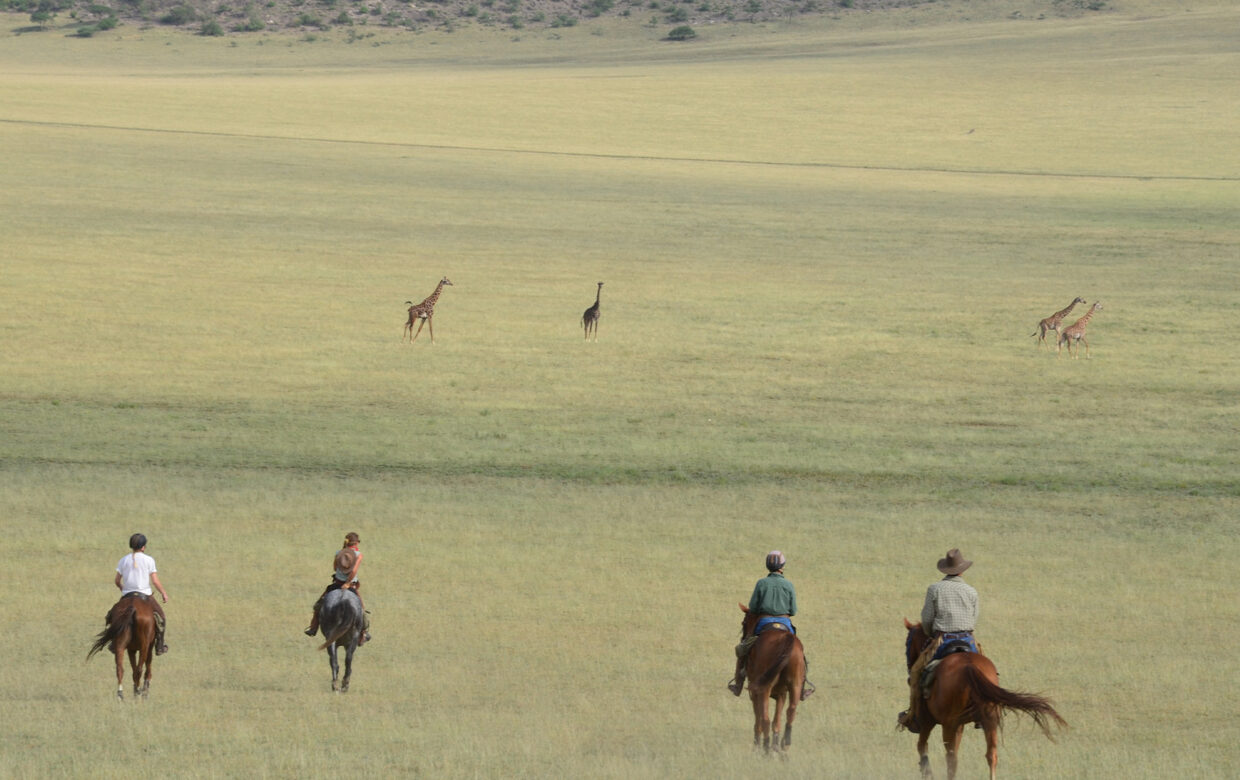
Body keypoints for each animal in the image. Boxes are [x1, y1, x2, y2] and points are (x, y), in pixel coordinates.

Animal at [738, 603, 806, 754]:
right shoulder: (782, 693)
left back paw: (766, 750)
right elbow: (777, 721)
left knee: (765, 718)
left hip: (763, 689)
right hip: (795, 685)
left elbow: (760, 719)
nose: (744, 638)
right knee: (791, 711)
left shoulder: (755, 693)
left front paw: (757, 745)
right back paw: (784, 746)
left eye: (744, 623)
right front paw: (775, 745)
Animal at [903, 618, 1066, 780]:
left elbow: (922, 747)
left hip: (949, 724)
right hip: (989, 720)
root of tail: (968, 666)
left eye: (907, 643)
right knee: (991, 755)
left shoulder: (928, 721)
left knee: (951, 759)